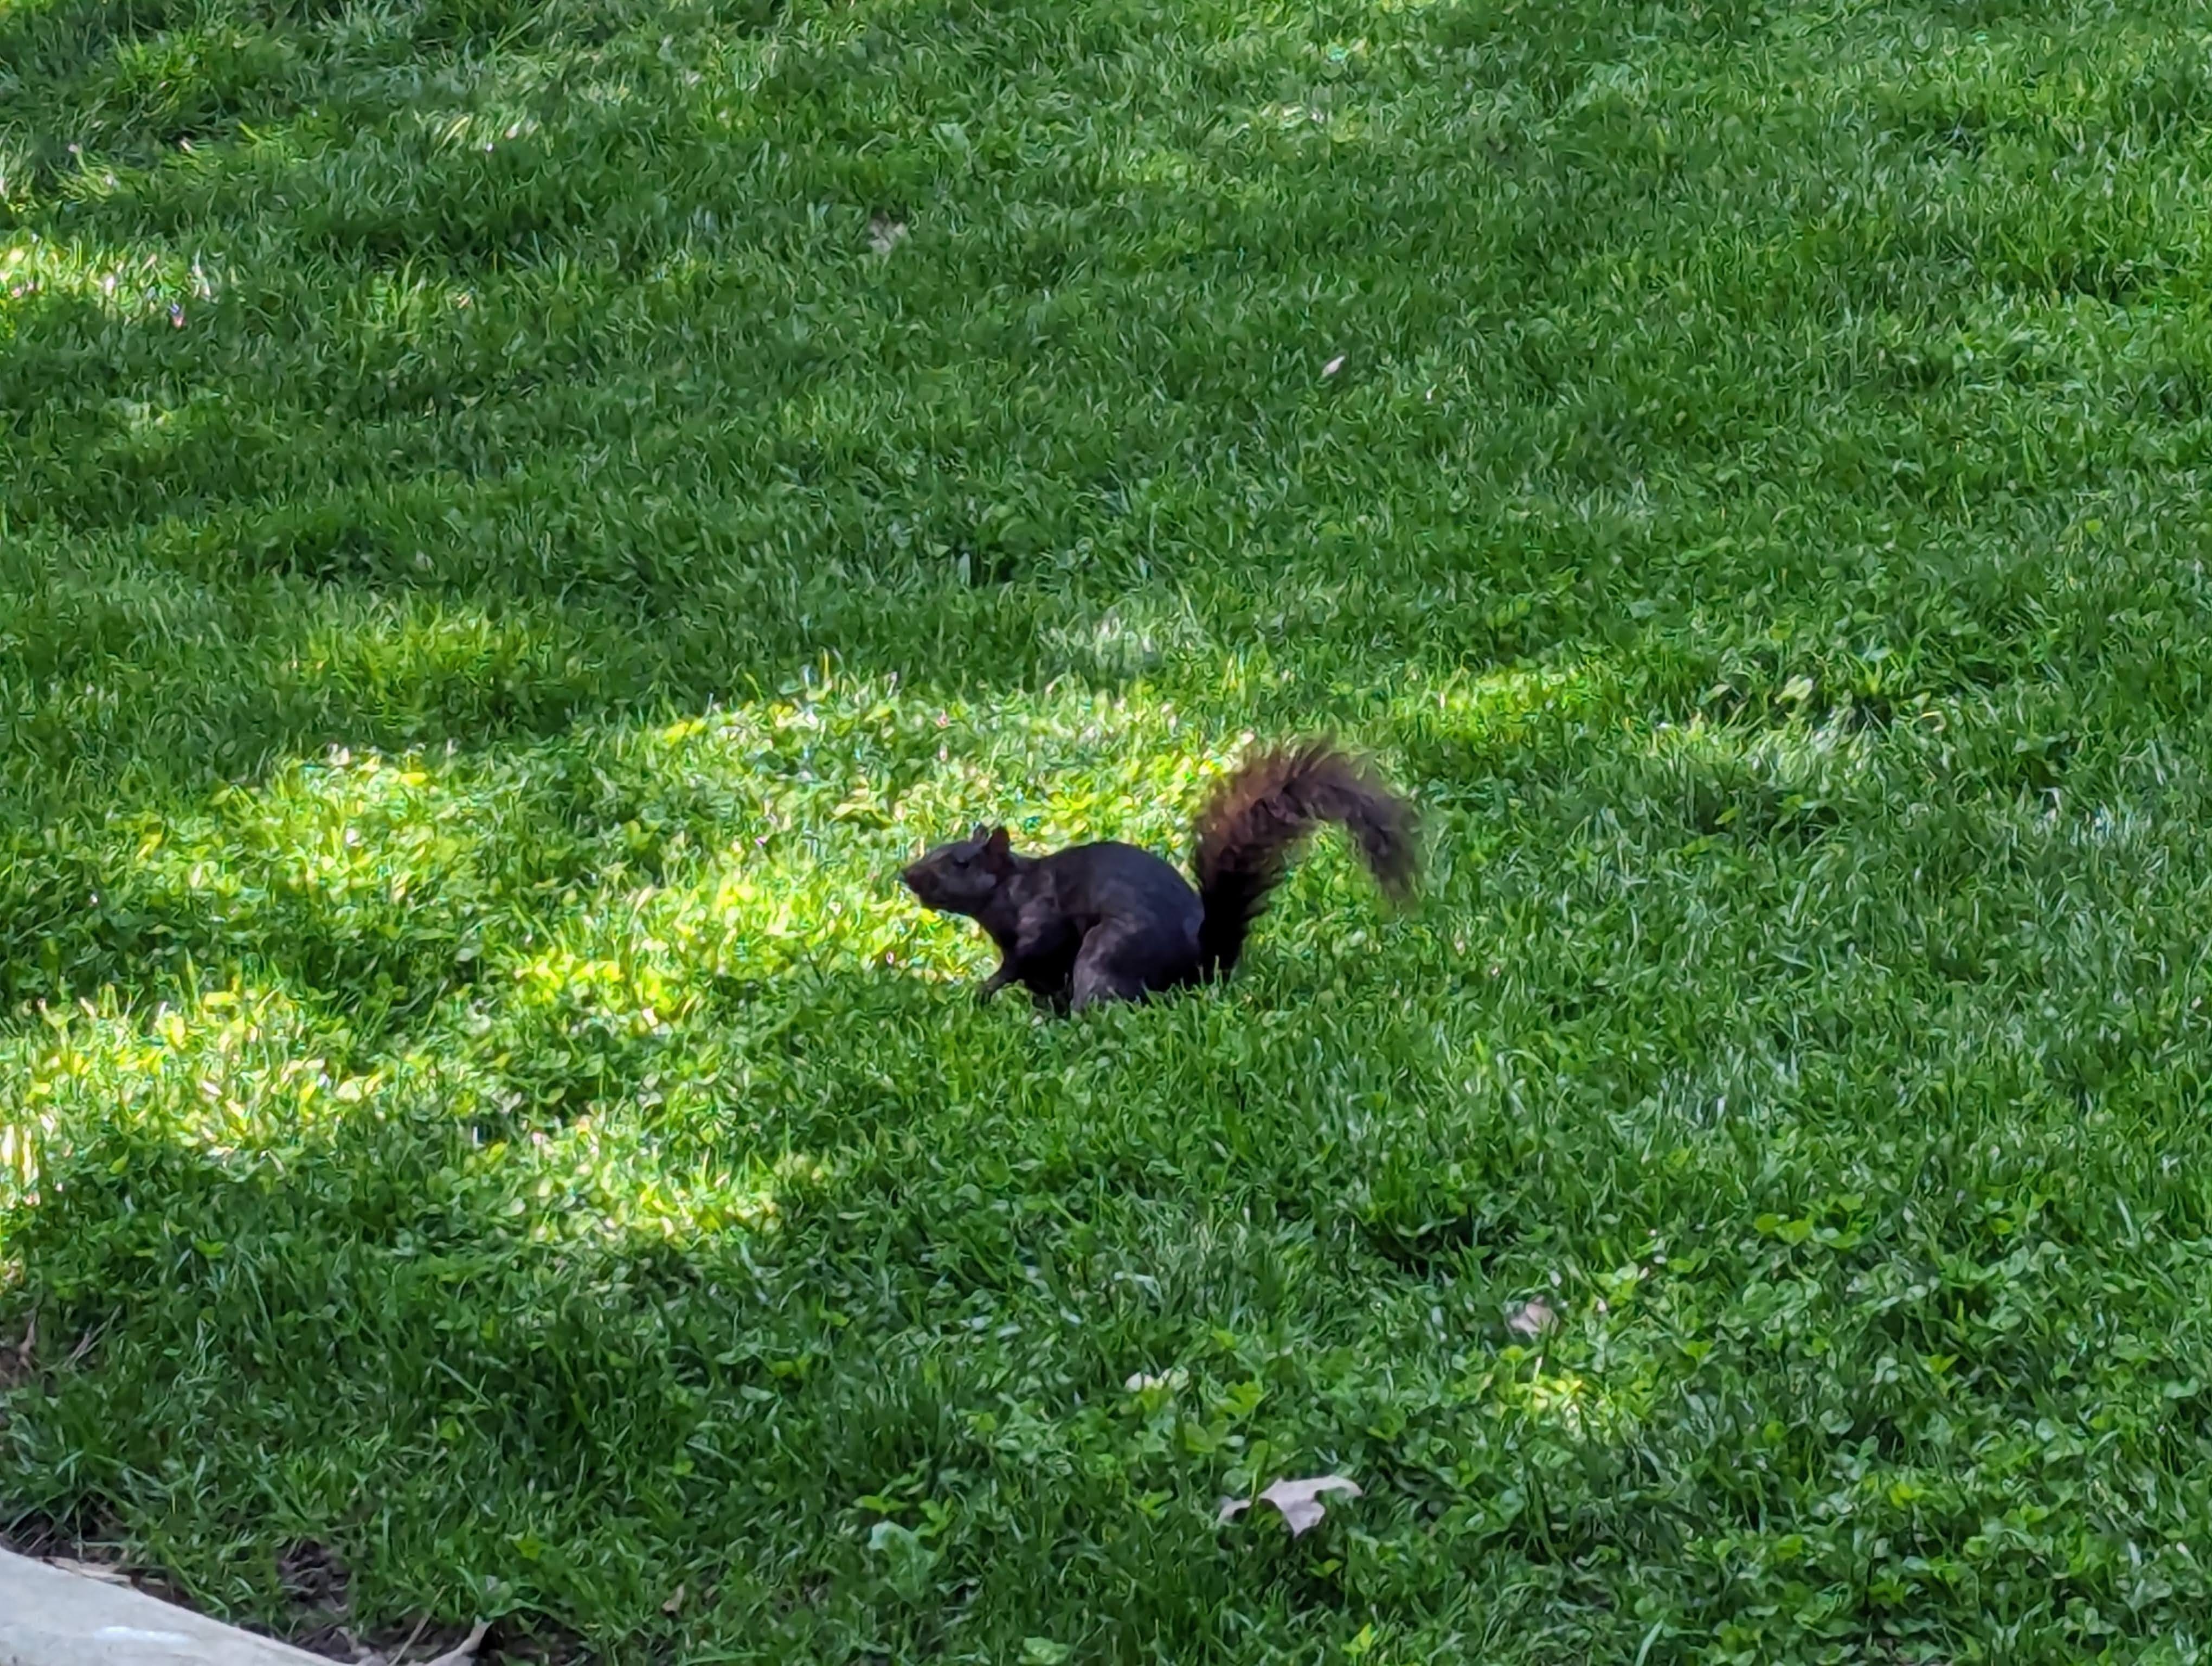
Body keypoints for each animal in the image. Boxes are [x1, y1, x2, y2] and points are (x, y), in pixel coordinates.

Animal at [900, 739, 1416, 1012]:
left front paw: (984, 991)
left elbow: (1027, 958)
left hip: (1108, 952)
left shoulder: (1043, 921)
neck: (1011, 890)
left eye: (959, 862)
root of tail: (1201, 966)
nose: (907, 875)